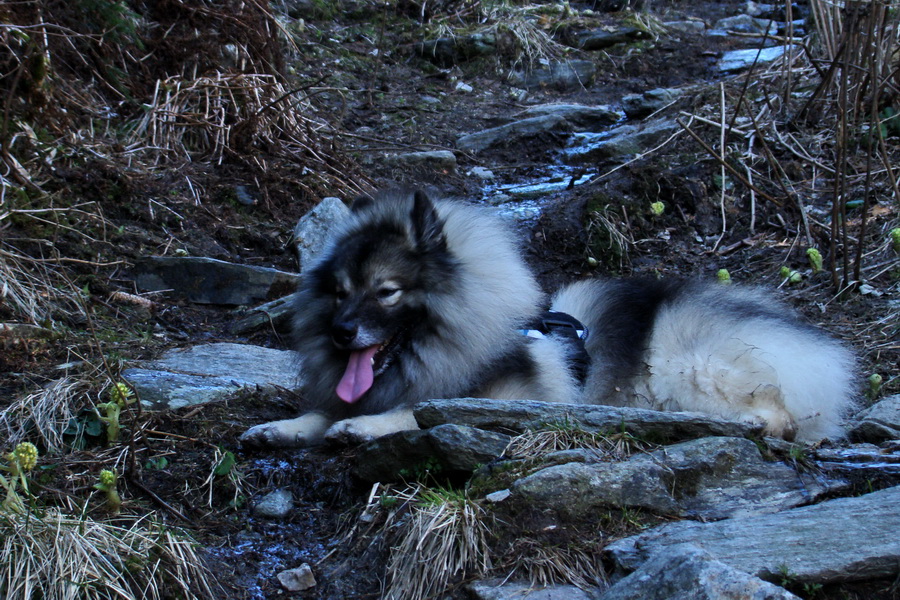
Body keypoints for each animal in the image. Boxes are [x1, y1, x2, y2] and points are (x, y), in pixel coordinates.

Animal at [241, 190, 856, 448]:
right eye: (338, 292)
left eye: (386, 292)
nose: (342, 332)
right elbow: (329, 411)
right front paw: (286, 427)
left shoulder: (515, 402)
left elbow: (422, 411)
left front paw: (367, 425)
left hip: (691, 366)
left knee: (781, 416)